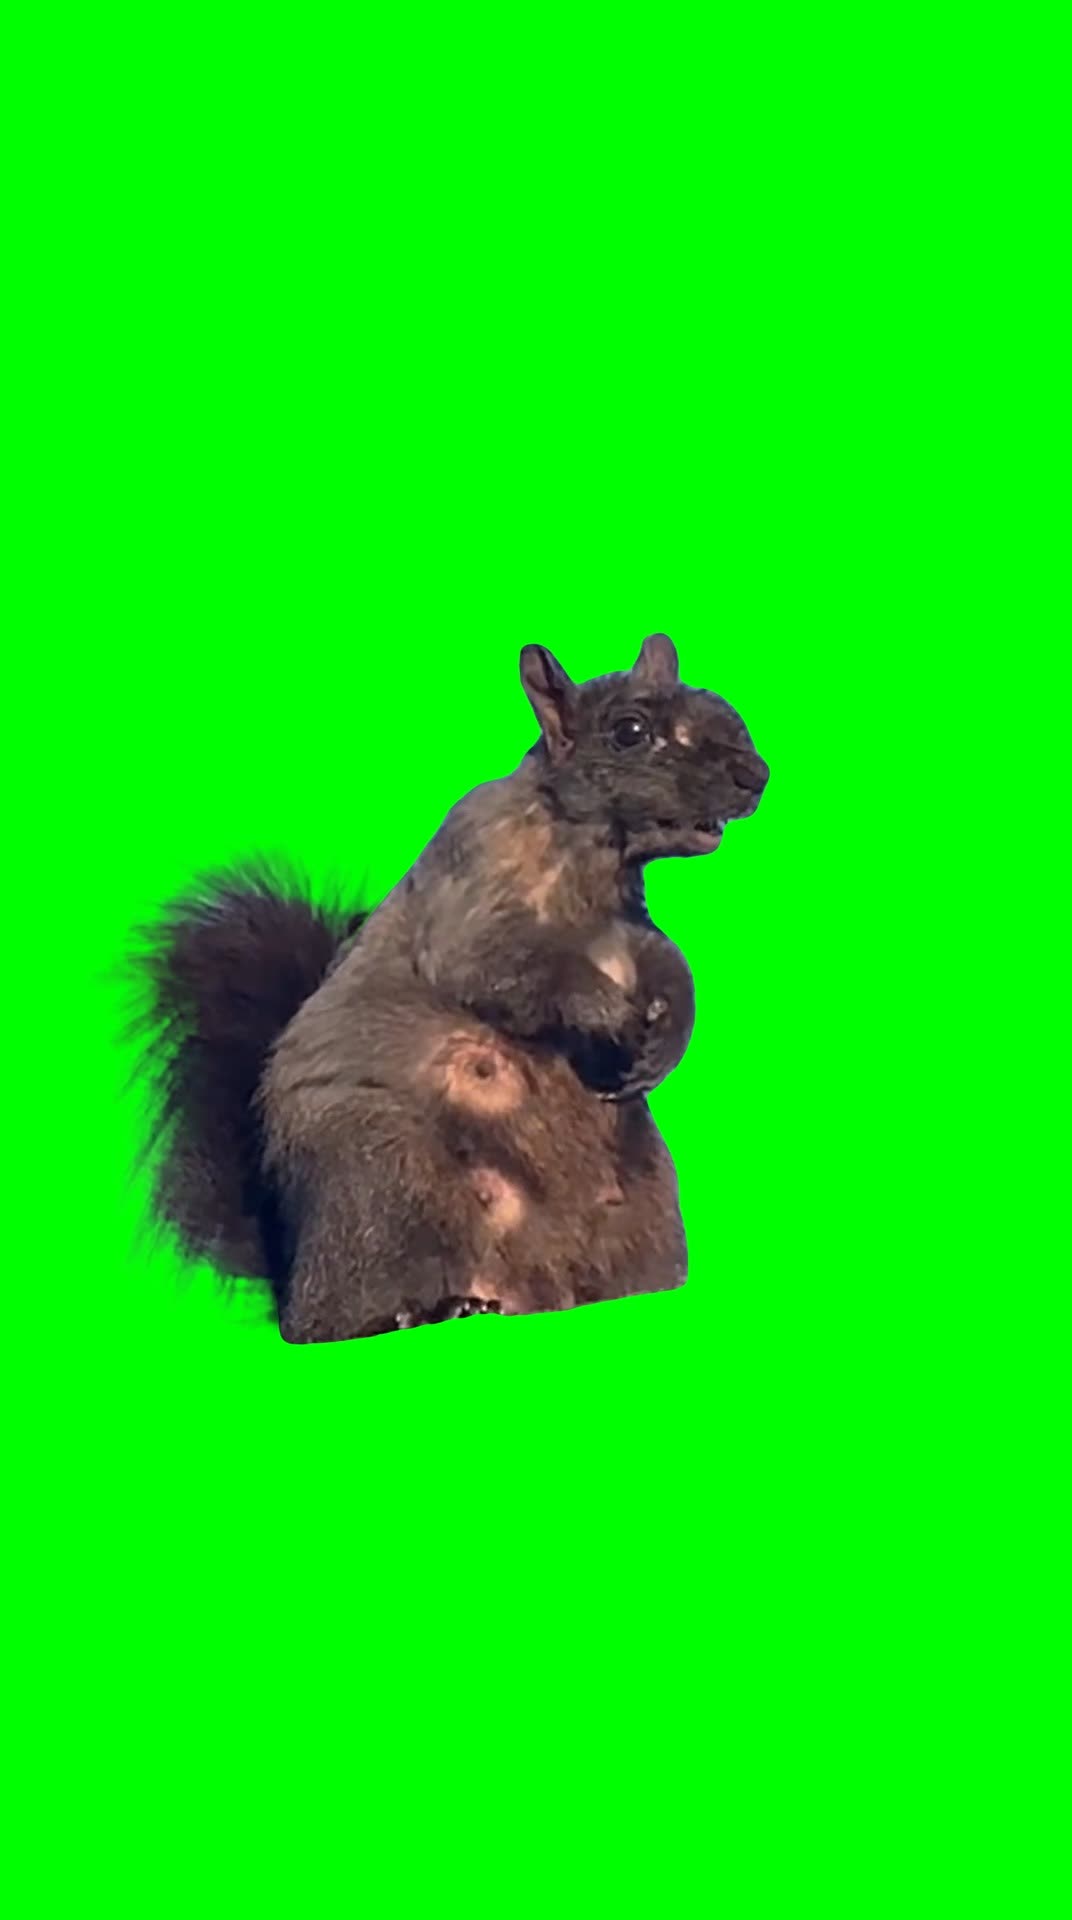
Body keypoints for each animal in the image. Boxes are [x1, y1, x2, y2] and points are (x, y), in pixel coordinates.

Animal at [124, 632, 768, 1343]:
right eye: (630, 731)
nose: (756, 774)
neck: (589, 852)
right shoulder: (470, 892)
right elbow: (500, 965)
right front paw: (611, 1014)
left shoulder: (629, 929)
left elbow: (671, 965)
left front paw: (668, 1038)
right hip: (383, 1182)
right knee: (334, 1320)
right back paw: (426, 1310)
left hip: (646, 1203)